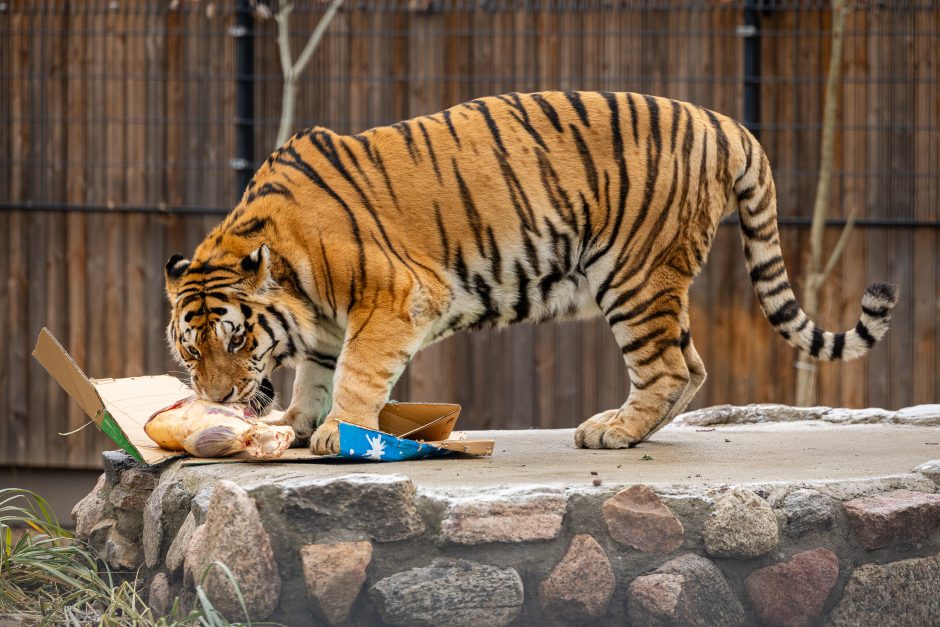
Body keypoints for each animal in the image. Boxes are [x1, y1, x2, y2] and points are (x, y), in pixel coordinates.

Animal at [165, 91, 900, 454]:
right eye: (191, 350)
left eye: (237, 338)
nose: (219, 398)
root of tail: (727, 124)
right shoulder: (323, 325)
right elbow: (317, 370)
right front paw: (293, 420)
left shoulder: (398, 297)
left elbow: (355, 373)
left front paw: (330, 430)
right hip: (661, 281)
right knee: (690, 367)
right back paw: (628, 425)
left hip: (632, 277)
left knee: (665, 368)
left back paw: (614, 433)